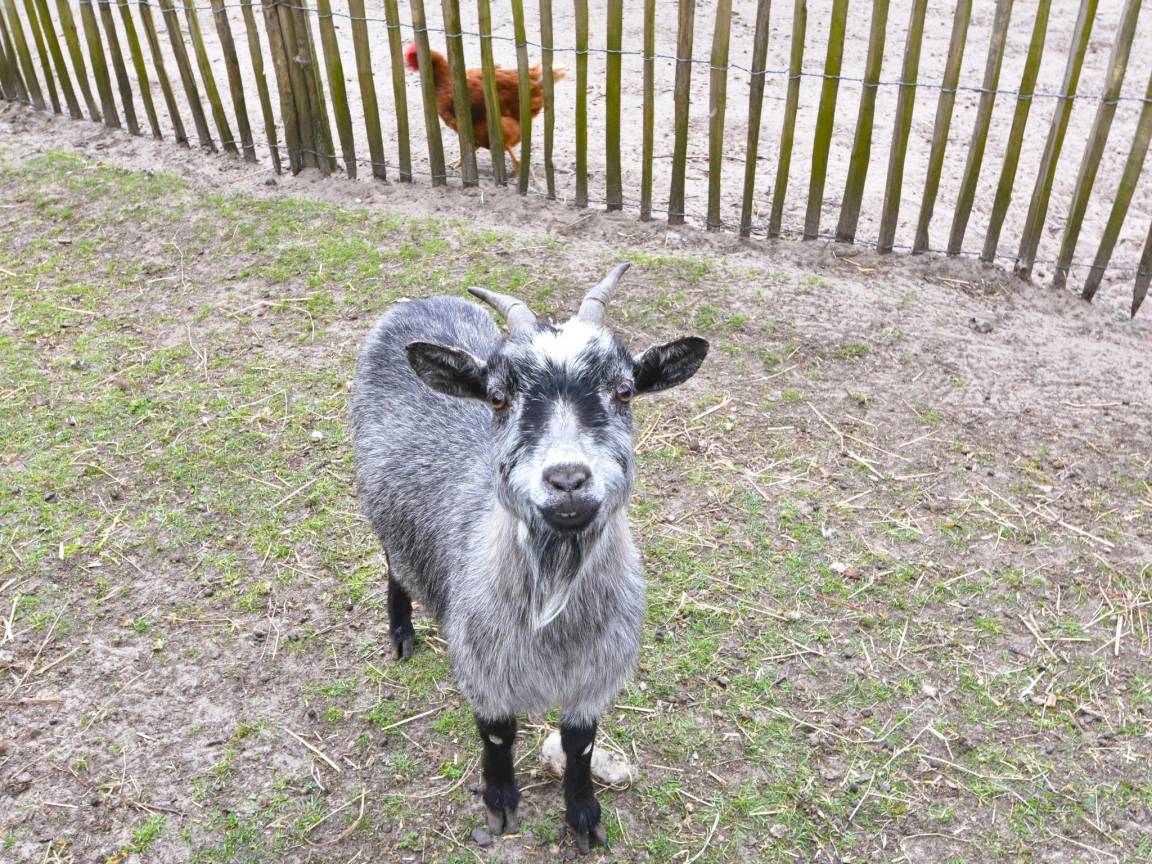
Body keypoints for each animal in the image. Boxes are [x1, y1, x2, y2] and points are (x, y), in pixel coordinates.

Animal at [349, 263, 708, 852]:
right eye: (497, 398)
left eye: (625, 390)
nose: (567, 480)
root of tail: (420, 300)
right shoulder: (484, 671)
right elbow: (498, 737)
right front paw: (501, 807)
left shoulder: (593, 679)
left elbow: (581, 745)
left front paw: (584, 817)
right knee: (393, 562)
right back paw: (401, 631)